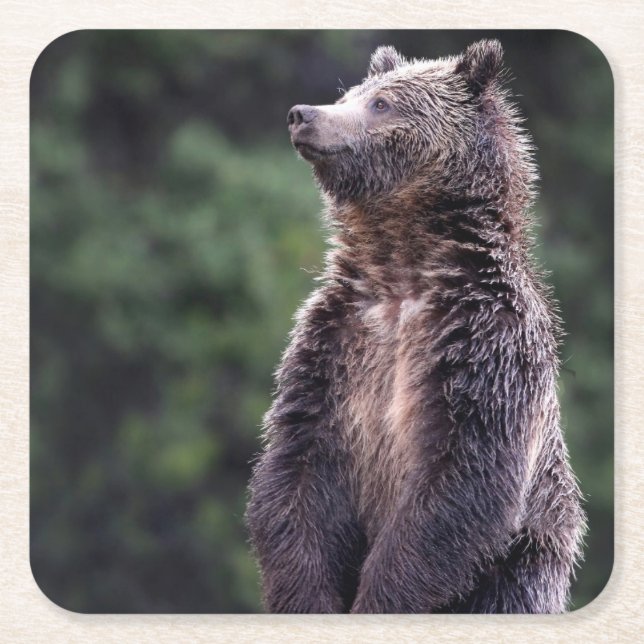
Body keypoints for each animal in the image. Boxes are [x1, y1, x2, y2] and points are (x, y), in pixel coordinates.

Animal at [246, 39, 586, 614]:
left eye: (381, 103)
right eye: (350, 93)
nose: (303, 115)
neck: (402, 268)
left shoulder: (484, 346)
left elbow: (460, 483)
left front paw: (381, 599)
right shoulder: (333, 346)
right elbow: (297, 471)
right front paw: (309, 597)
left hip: (524, 566)